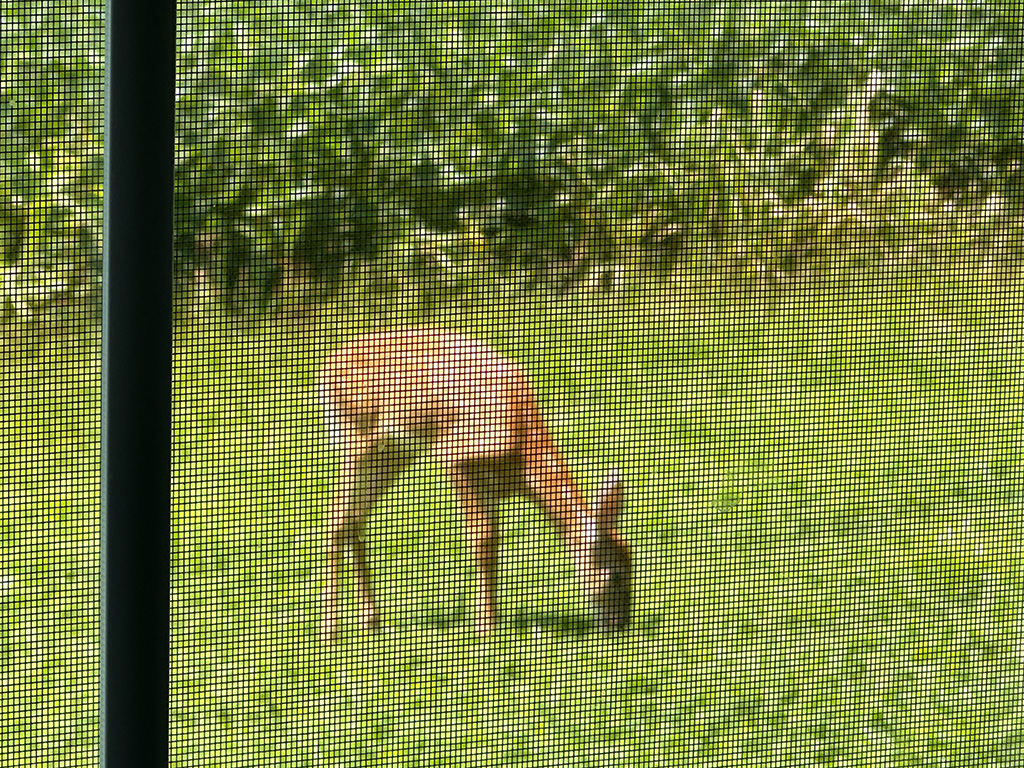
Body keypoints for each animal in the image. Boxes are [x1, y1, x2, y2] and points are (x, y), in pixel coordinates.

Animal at [318, 327, 632, 638]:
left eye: (632, 564)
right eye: (614, 574)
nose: (620, 624)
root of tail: (326, 368)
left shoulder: (490, 484)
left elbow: (494, 539)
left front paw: (490, 620)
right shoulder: (453, 453)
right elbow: (484, 537)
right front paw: (486, 627)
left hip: (393, 451)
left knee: (356, 518)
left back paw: (370, 621)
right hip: (357, 435)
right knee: (337, 516)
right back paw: (330, 631)